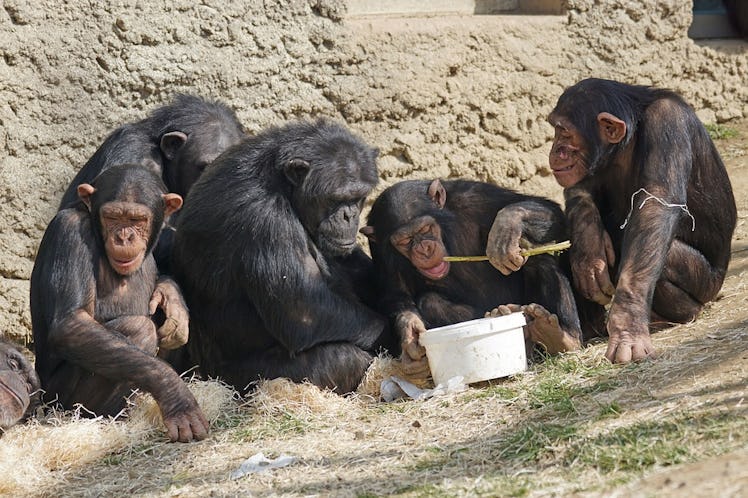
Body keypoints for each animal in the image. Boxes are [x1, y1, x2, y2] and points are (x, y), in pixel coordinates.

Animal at [30, 164, 209, 444]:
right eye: (112, 217)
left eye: (137, 220)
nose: (124, 237)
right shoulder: (68, 231)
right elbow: (71, 323)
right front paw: (175, 394)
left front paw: (172, 299)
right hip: (59, 400)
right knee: (139, 329)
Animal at [169, 118, 392, 394]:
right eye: (336, 198)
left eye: (358, 197)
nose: (349, 215)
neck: (284, 187)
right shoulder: (266, 220)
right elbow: (305, 311)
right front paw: (394, 335)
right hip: (237, 379)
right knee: (343, 358)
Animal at [362, 178, 584, 374]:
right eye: (405, 241)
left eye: (425, 228)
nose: (424, 248)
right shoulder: (379, 248)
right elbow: (395, 293)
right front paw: (410, 332)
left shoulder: (475, 196)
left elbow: (552, 212)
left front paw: (507, 225)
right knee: (430, 301)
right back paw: (505, 317)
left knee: (538, 259)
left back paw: (562, 336)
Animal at [548, 80, 740, 364]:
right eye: (556, 130)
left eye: (564, 132)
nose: (555, 150)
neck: (627, 143)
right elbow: (581, 187)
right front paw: (588, 247)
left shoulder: (668, 123)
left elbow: (656, 205)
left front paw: (627, 328)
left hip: (709, 284)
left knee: (662, 256)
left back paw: (683, 313)